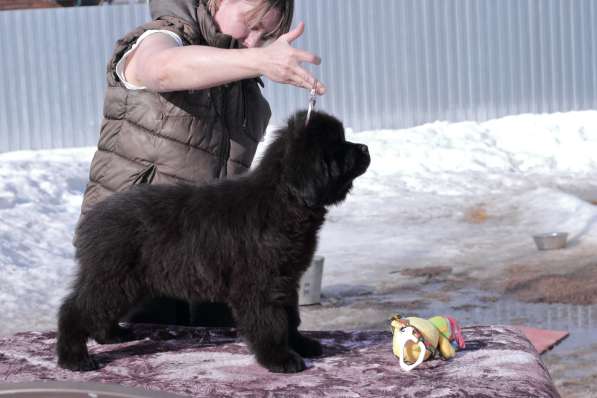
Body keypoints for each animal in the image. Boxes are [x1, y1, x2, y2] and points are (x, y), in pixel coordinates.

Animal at [58, 111, 370, 374]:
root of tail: (94, 217)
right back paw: (74, 358)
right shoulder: (260, 283)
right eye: (337, 145)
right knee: (75, 309)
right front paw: (280, 359)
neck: (284, 200)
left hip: (129, 282)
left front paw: (302, 345)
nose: (365, 148)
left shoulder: (286, 280)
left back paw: (111, 335)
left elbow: (291, 318)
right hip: (114, 277)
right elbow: (271, 322)